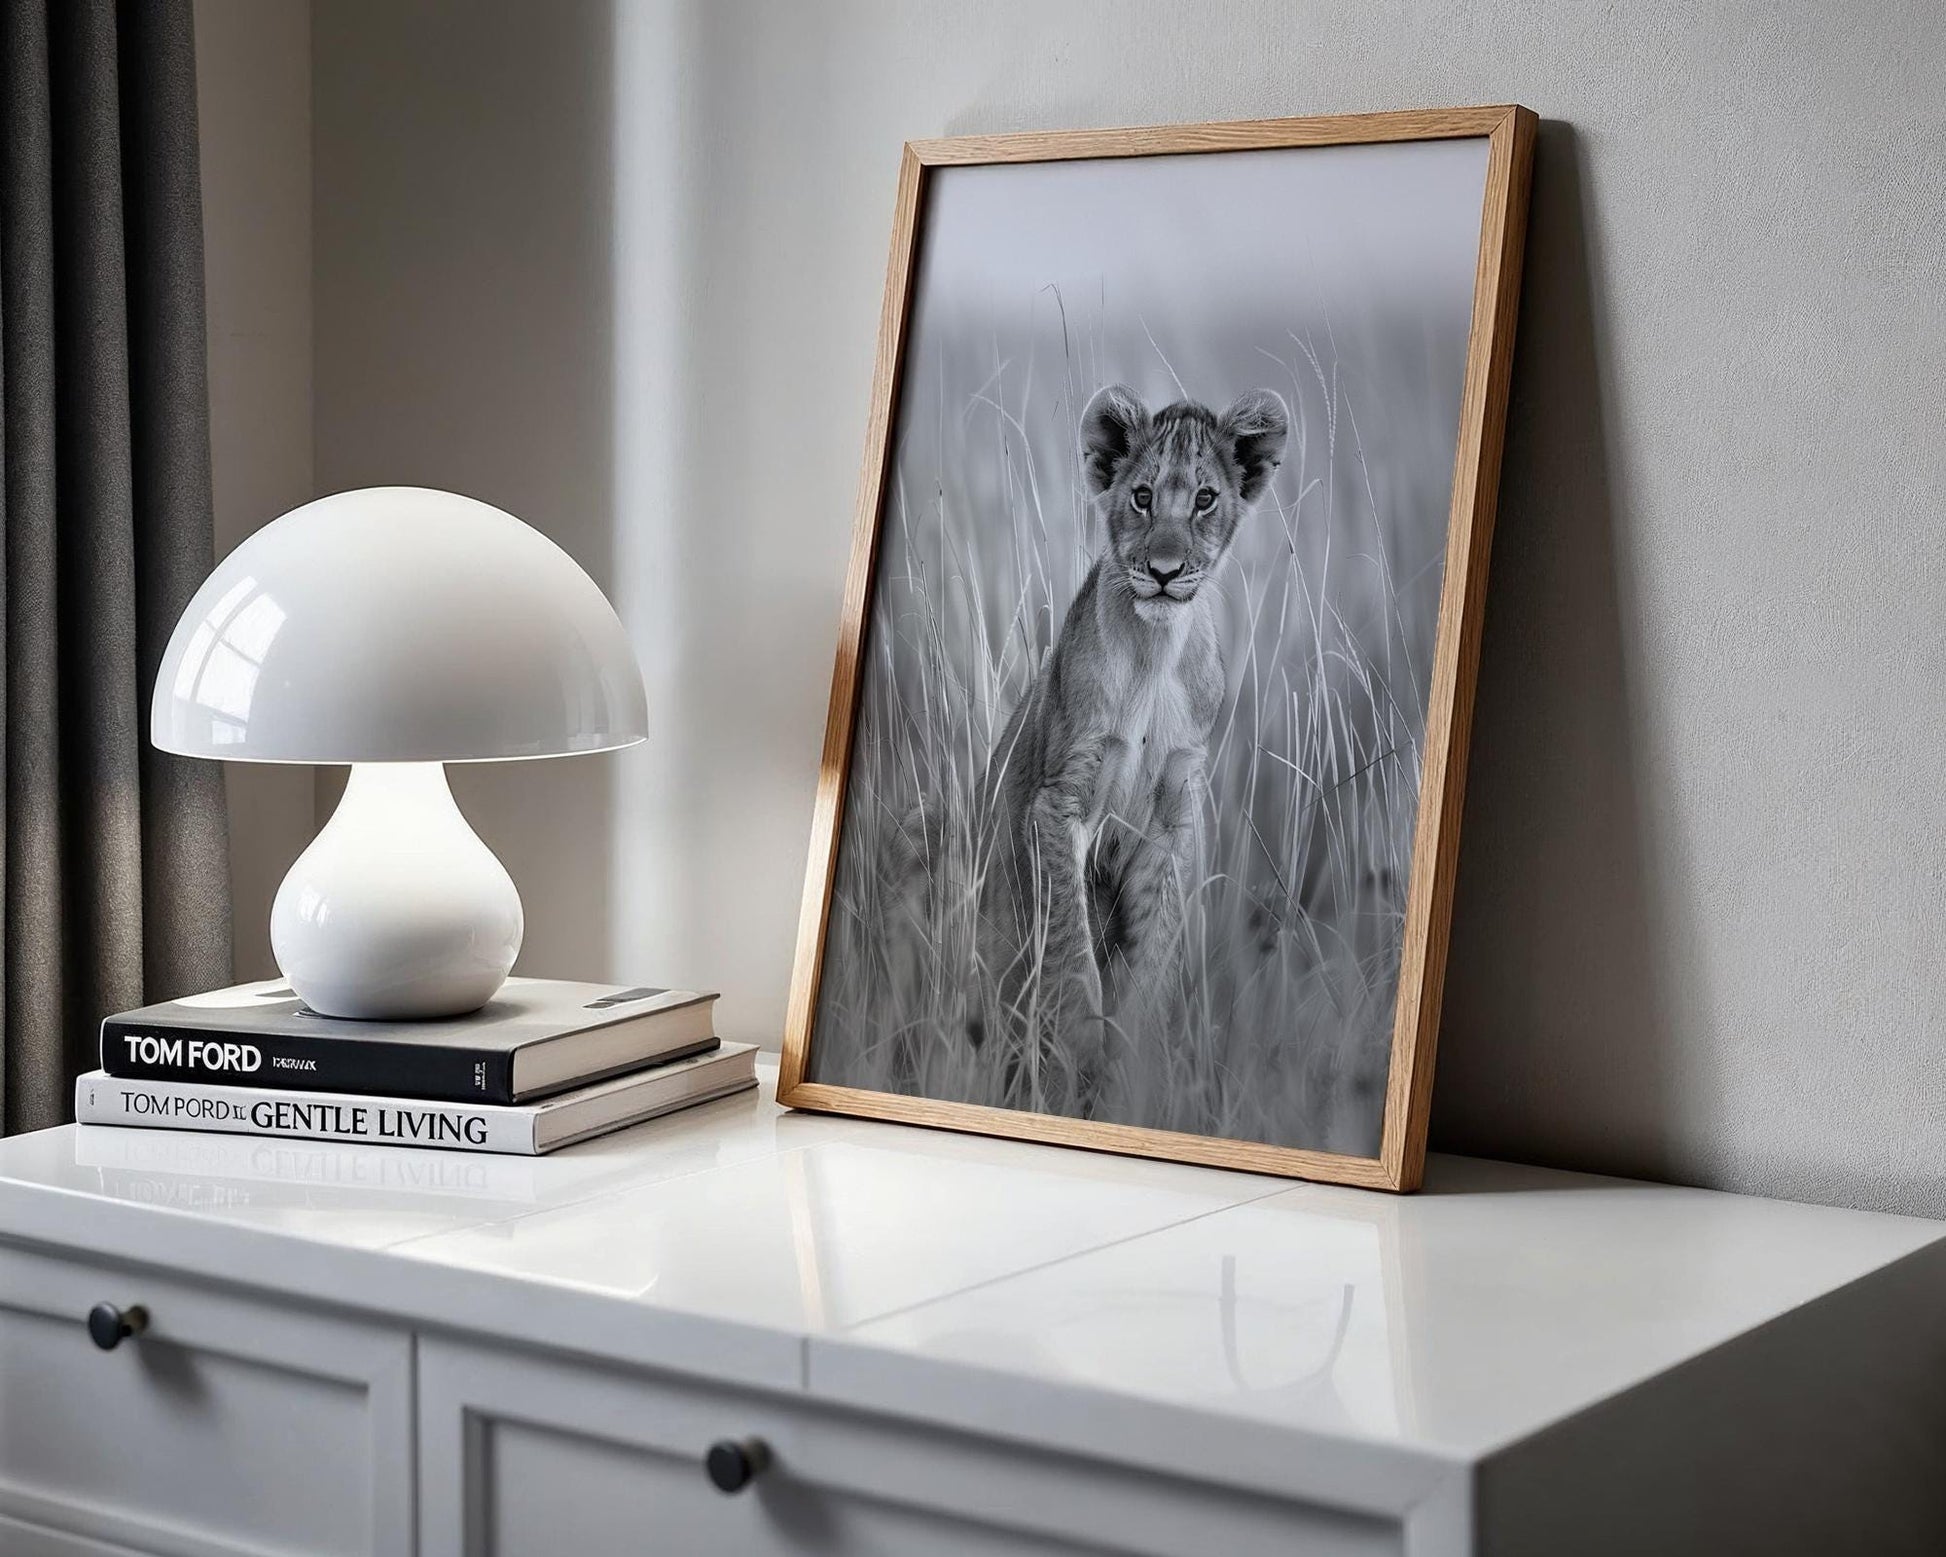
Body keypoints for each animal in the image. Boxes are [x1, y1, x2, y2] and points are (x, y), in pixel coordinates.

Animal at [971, 384, 1290, 1117]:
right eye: (1142, 496)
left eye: (1205, 498)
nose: (1164, 571)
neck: (1155, 650)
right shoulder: (1059, 801)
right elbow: (1071, 949)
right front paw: (1087, 1046)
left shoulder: (1173, 818)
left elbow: (1154, 953)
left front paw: (1131, 1061)